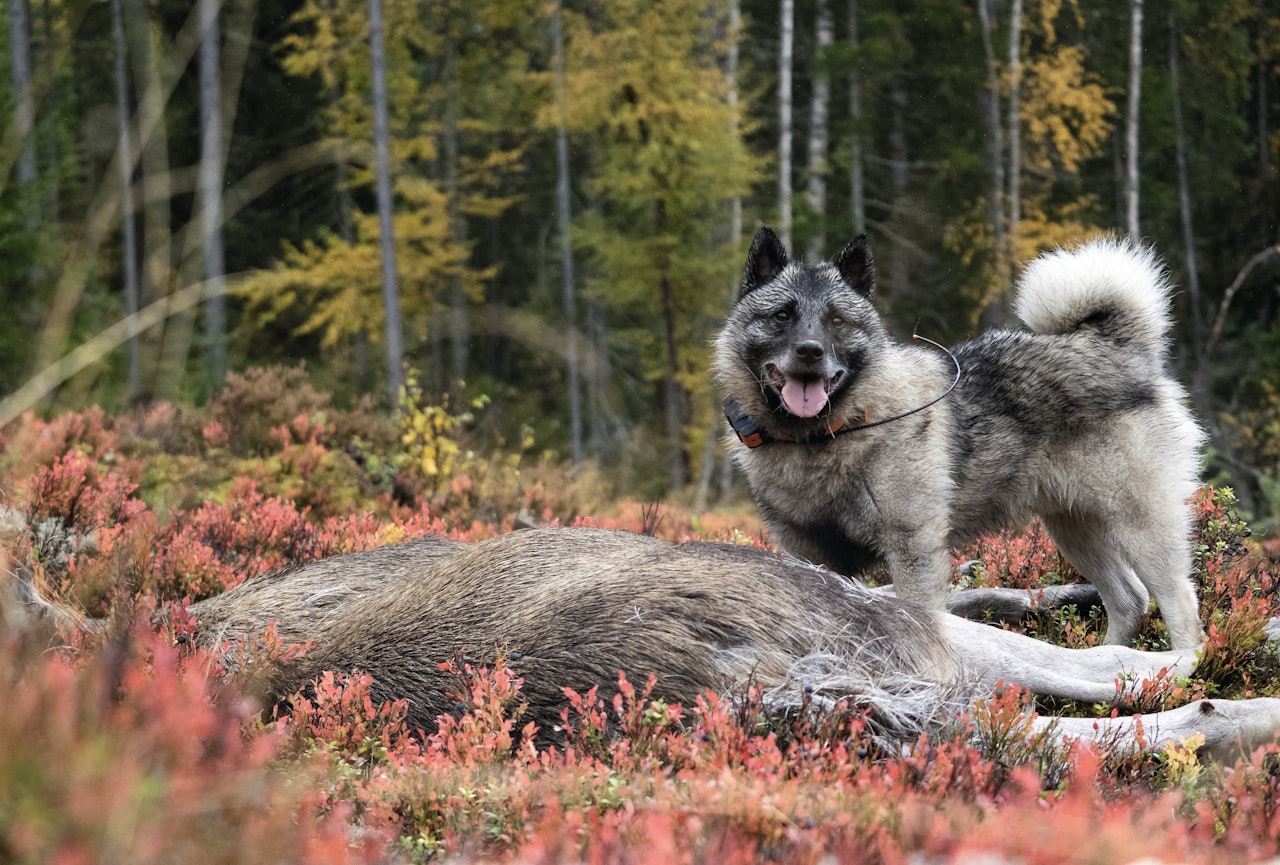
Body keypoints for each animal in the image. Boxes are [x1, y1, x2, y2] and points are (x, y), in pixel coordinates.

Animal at [716, 227, 1203, 650]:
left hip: (1142, 525)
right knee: (1129, 599)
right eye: (782, 316)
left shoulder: (913, 549)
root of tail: (1115, 347)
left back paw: (1176, 672)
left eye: (836, 321)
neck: (824, 437)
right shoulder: (814, 557)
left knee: (1181, 606)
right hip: (1075, 527)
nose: (810, 351)